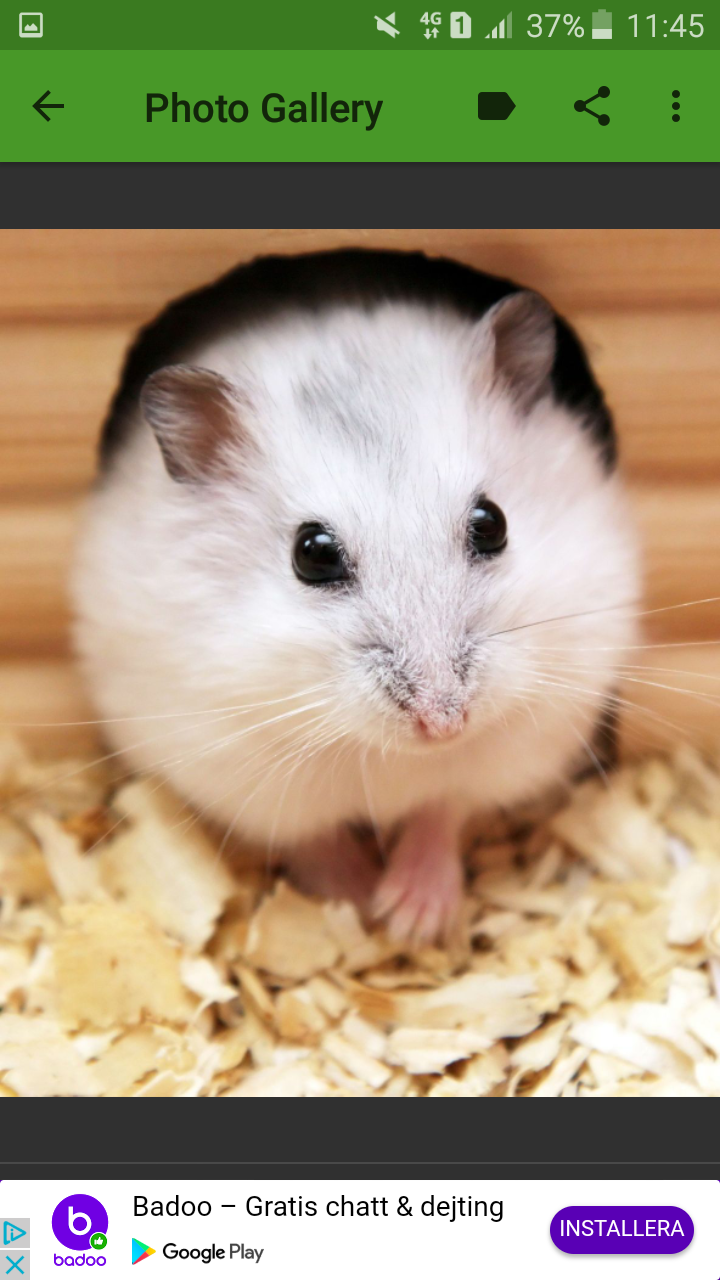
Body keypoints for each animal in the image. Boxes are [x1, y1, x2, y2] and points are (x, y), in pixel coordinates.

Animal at [72, 250, 640, 944]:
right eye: (312, 554)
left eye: (493, 523)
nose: (443, 724)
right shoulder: (244, 773)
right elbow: (314, 841)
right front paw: (357, 903)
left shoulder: (506, 751)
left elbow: (442, 811)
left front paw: (408, 919)